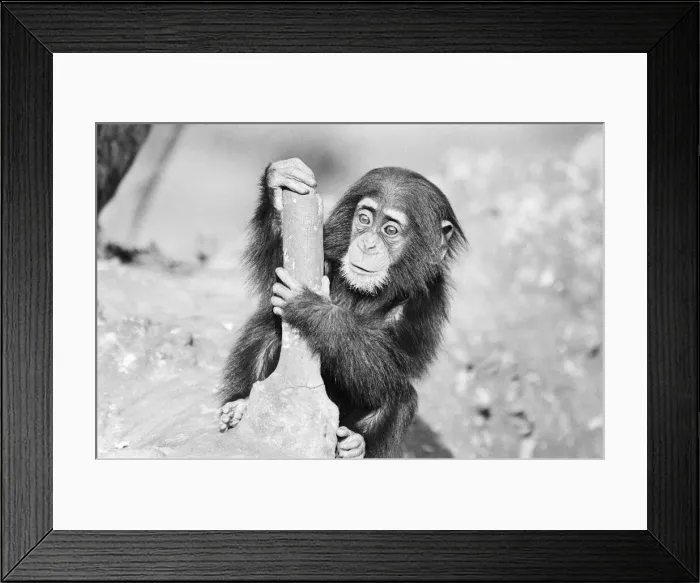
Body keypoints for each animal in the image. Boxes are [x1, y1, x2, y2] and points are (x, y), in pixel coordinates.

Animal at [220, 158, 466, 458]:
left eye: (390, 230)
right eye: (365, 219)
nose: (368, 244)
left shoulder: (423, 302)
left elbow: (389, 366)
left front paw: (314, 308)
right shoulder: (326, 255)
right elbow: (275, 274)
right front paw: (279, 183)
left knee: (399, 395)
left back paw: (355, 446)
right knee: (268, 331)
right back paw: (240, 405)